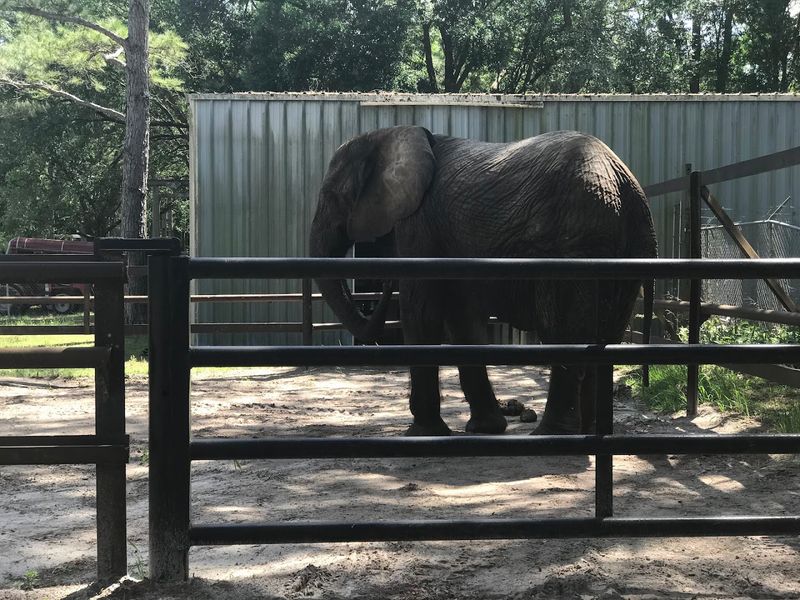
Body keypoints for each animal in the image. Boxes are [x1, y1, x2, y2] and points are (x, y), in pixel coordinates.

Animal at [309, 126, 657, 436]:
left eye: (333, 196)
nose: (380, 284)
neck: (391, 134)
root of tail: (629, 188)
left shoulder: (419, 224)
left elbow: (421, 311)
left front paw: (423, 432)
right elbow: (461, 318)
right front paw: (485, 428)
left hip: (574, 244)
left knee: (563, 332)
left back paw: (553, 434)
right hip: (622, 252)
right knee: (605, 335)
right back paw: (591, 432)